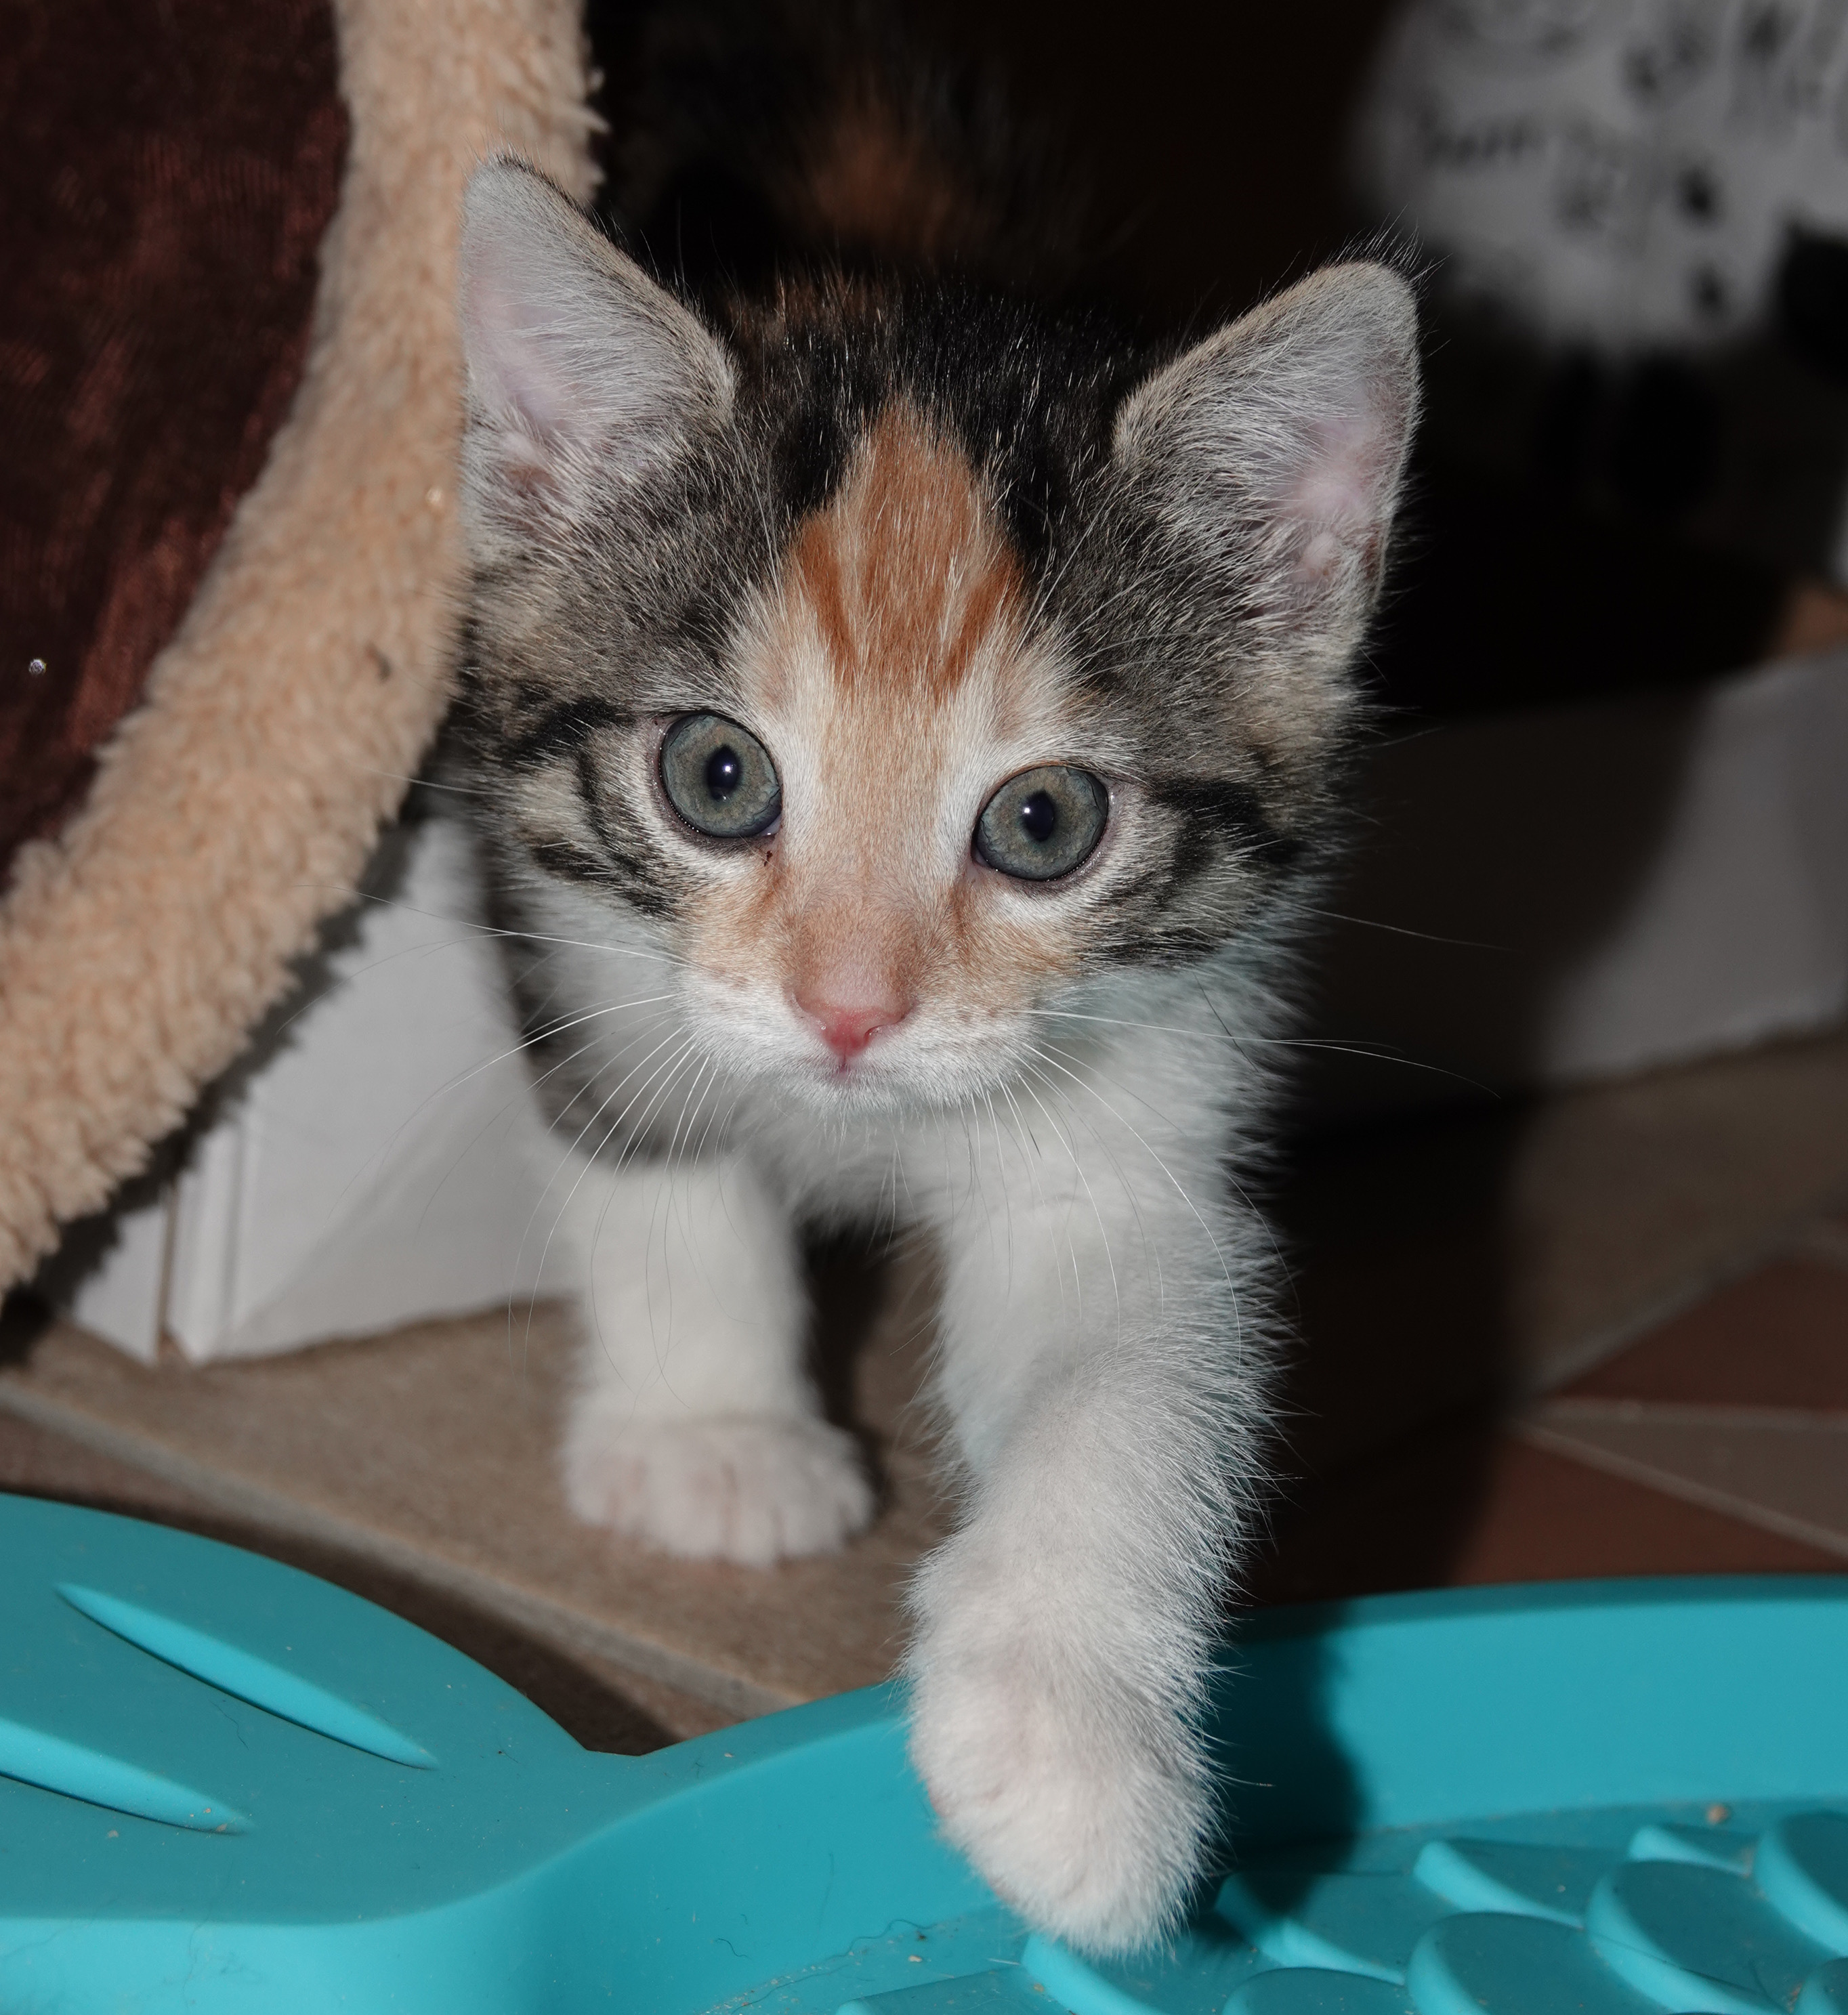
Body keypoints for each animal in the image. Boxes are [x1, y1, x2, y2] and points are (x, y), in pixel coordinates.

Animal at [450, 1, 1419, 1957]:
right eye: (716, 777)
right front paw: (716, 1437)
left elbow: (1134, 1356)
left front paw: (1068, 1746)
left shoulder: (1165, 1048)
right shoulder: (561, 906)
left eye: (1043, 822)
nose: (849, 1011)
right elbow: (646, 1140)